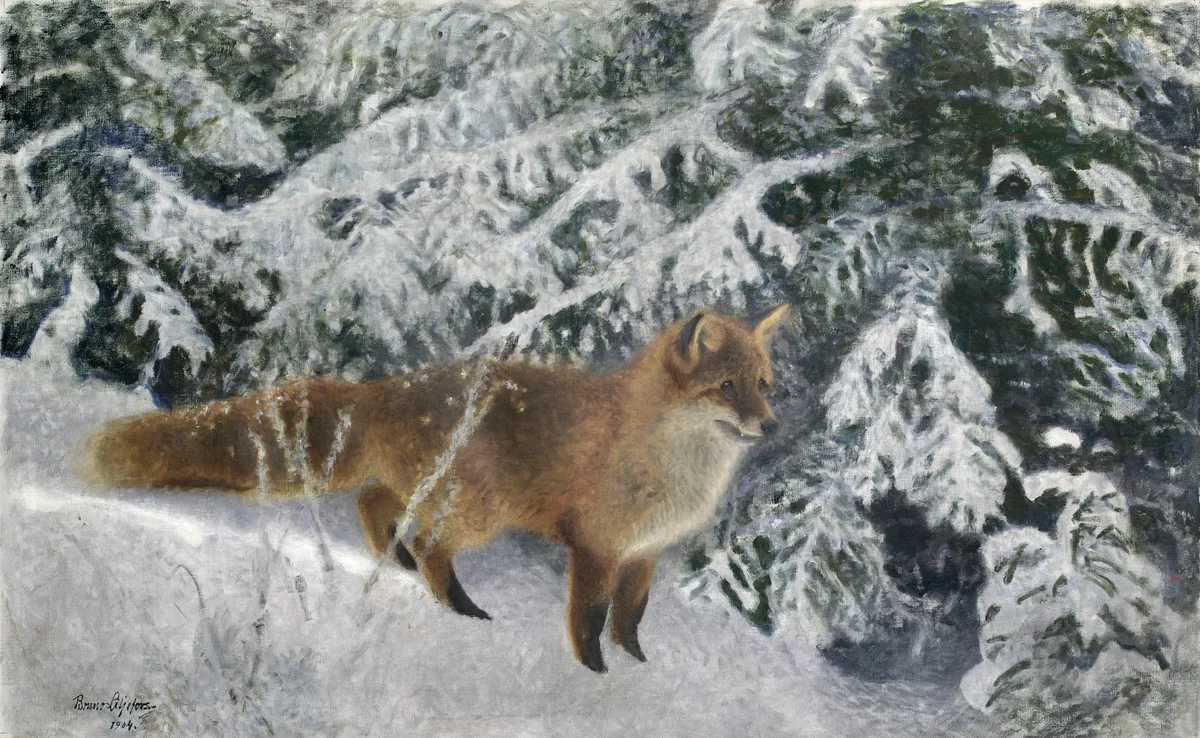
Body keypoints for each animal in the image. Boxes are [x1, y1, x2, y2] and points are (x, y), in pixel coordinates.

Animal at [75, 304, 790, 672]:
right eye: (727, 387)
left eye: (764, 384)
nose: (773, 425)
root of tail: (386, 389)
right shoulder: (596, 546)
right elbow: (588, 622)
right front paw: (594, 676)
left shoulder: (644, 554)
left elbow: (630, 619)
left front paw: (640, 667)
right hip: (478, 512)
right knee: (427, 544)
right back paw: (460, 610)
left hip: (434, 495)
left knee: (373, 504)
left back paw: (396, 565)